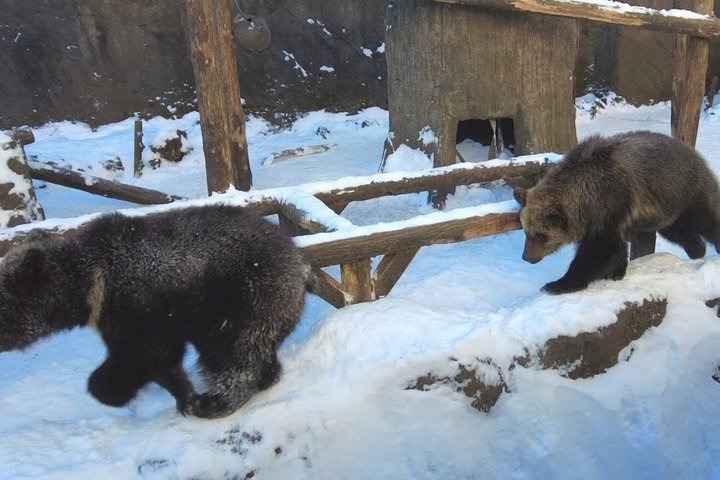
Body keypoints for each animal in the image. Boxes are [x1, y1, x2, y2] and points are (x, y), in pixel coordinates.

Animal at [0, 204, 310, 418]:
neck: (92, 283)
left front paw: (186, 398)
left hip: (242, 296)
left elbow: (153, 357)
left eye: (4, 302)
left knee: (234, 352)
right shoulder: (118, 318)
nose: (3, 341)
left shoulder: (139, 308)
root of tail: (297, 258)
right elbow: (137, 358)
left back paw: (217, 401)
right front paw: (115, 389)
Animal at [513, 130, 720, 295]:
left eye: (541, 235)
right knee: (679, 232)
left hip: (685, 191)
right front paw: (616, 272)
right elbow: (615, 248)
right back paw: (697, 251)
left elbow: (598, 250)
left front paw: (556, 284)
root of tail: (693, 152)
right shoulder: (607, 216)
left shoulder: (609, 205)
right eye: (526, 232)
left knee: (706, 221)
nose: (527, 257)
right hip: (666, 211)